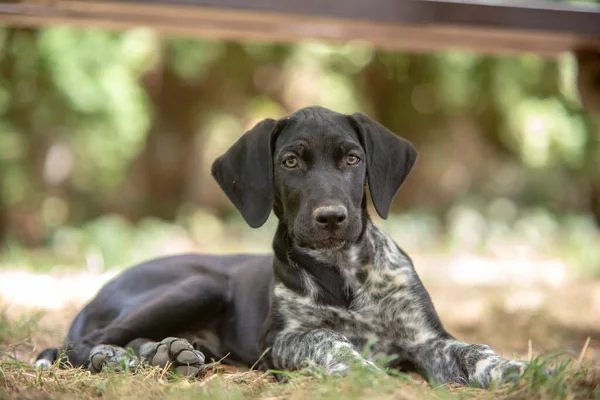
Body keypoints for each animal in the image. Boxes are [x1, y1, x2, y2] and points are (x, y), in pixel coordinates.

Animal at [35, 106, 528, 388]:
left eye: (353, 159)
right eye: (290, 161)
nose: (331, 217)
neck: (344, 272)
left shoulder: (427, 340)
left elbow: (471, 350)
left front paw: (513, 368)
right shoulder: (280, 341)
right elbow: (327, 339)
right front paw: (363, 373)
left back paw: (168, 353)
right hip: (200, 284)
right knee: (73, 345)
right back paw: (113, 356)